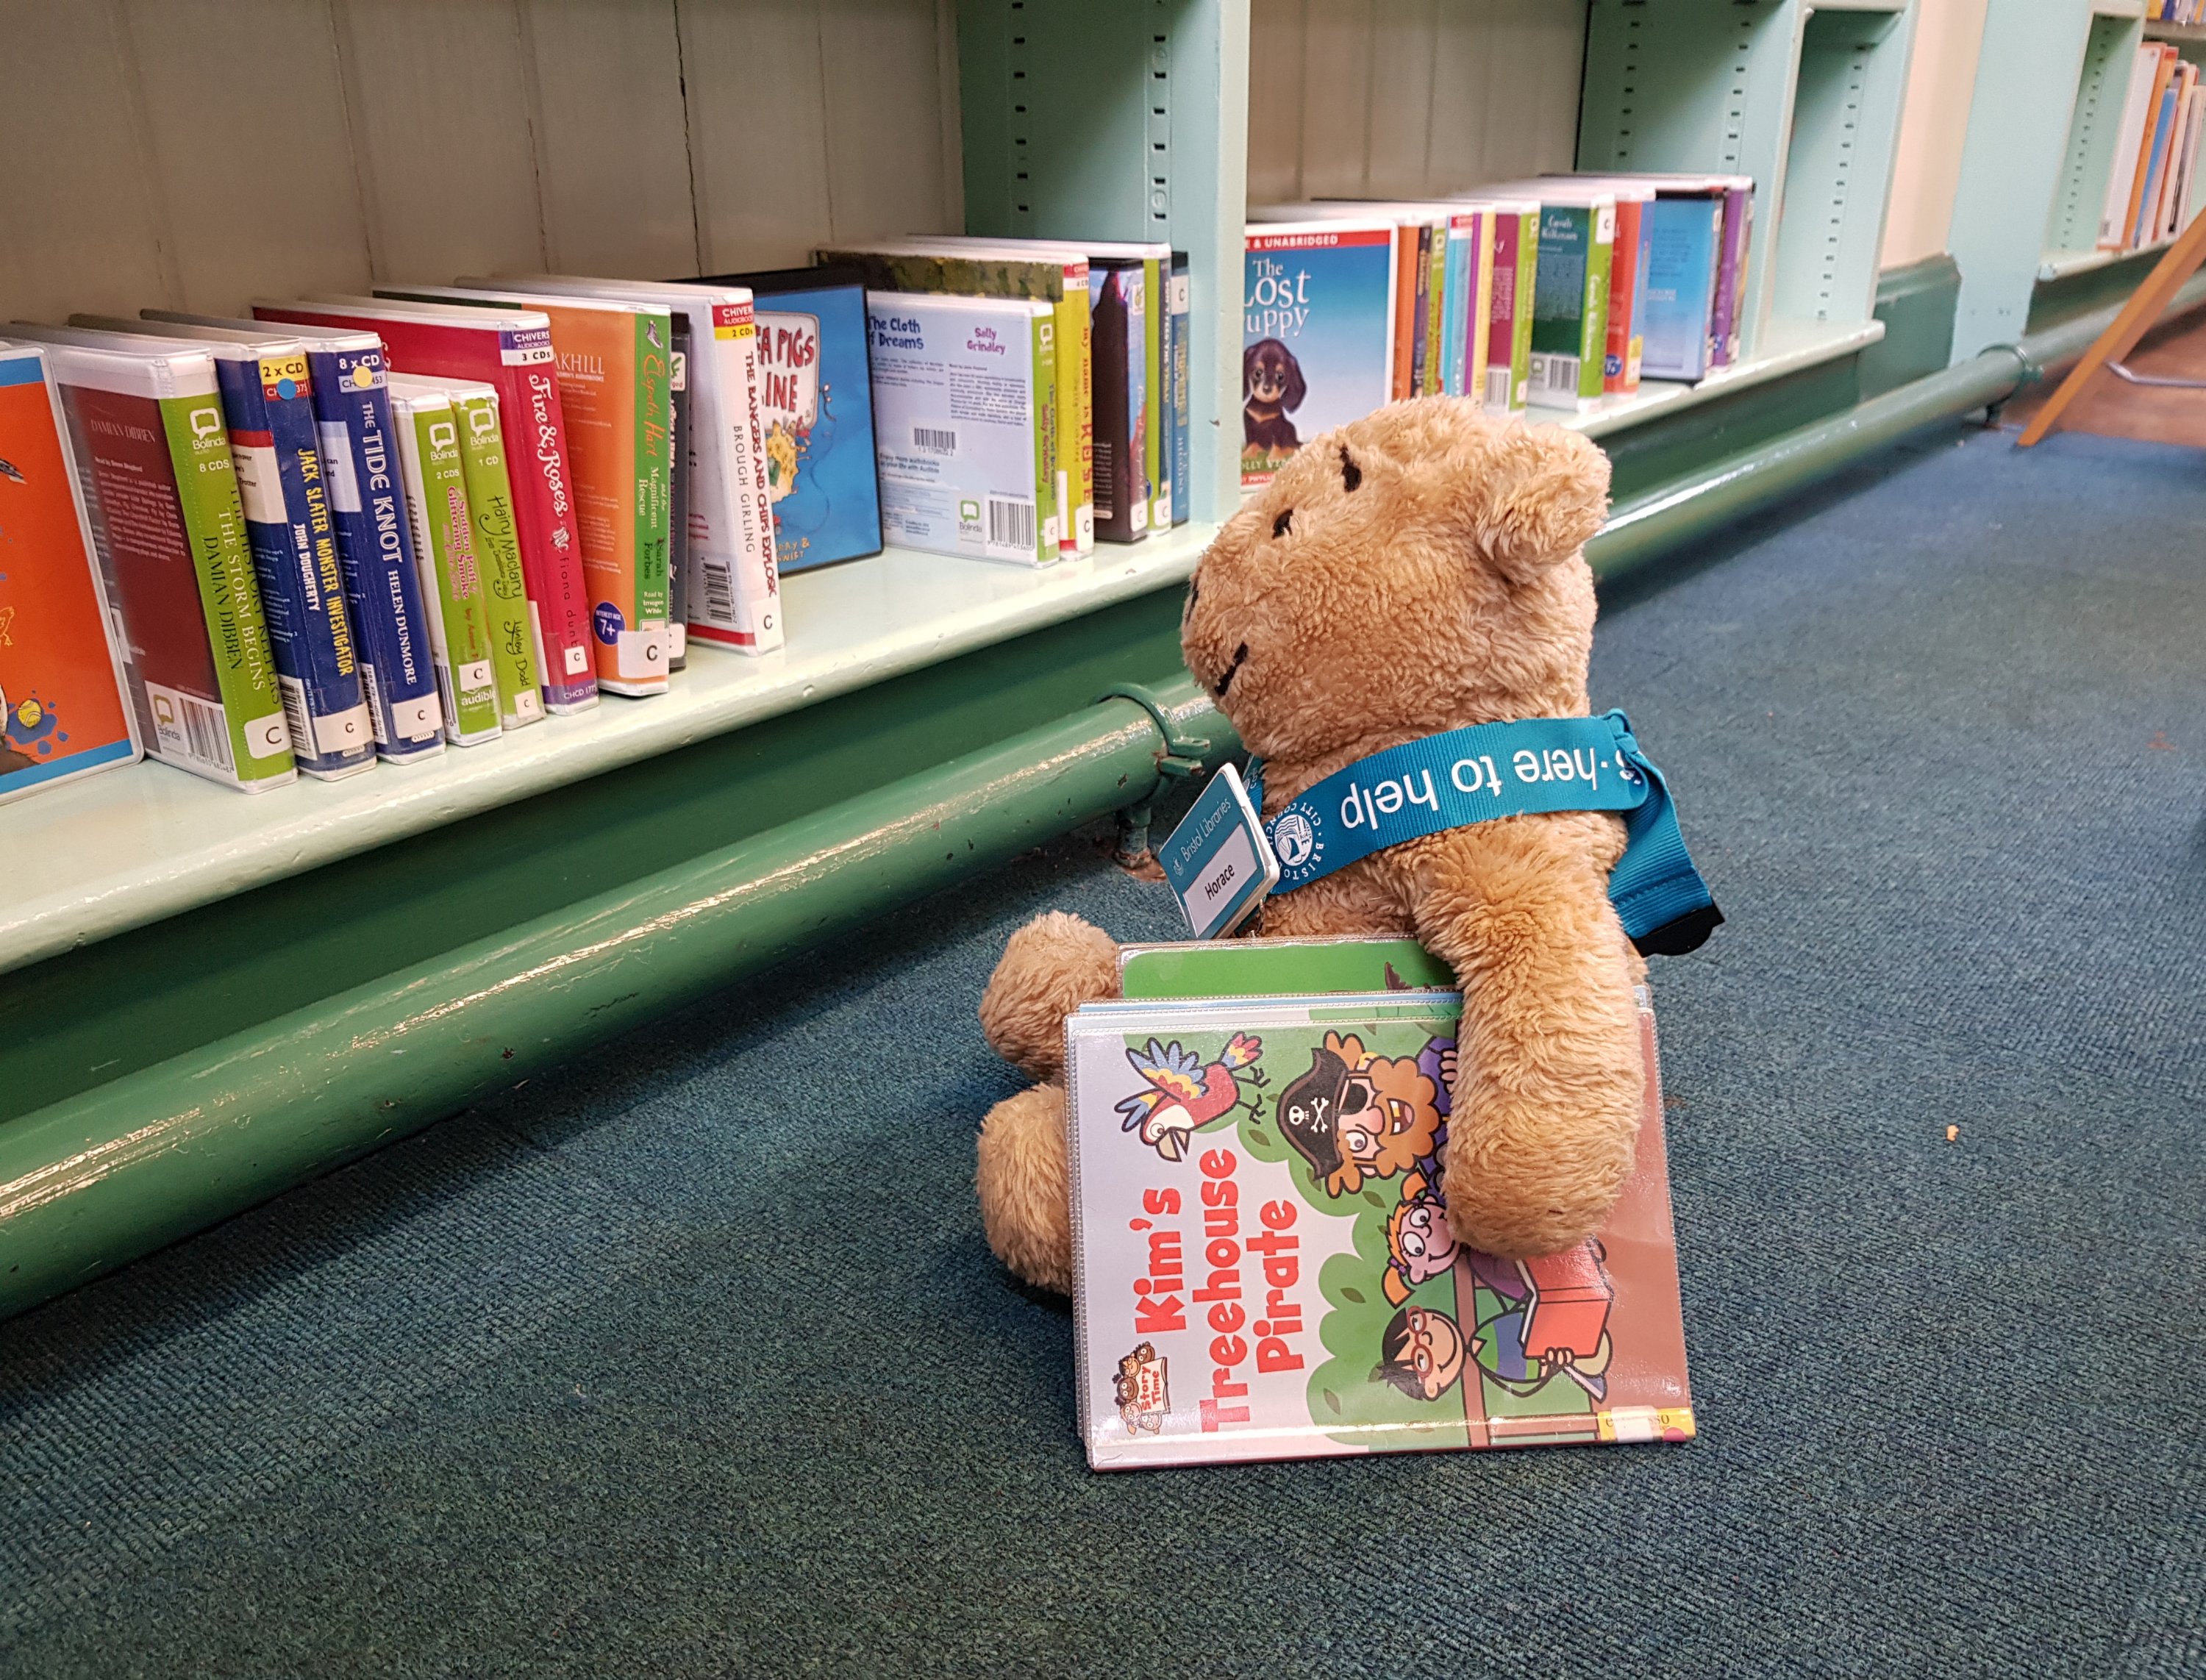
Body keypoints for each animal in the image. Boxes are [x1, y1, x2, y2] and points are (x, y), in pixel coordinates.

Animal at [1243, 338, 1306, 455]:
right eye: (1258, 372)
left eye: (1280, 376)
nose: (1267, 389)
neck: (1264, 406)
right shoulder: (1249, 424)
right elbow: (1252, 442)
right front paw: (1247, 454)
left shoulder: (1278, 427)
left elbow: (1276, 444)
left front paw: (1275, 456)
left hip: (1290, 428)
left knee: (1292, 445)